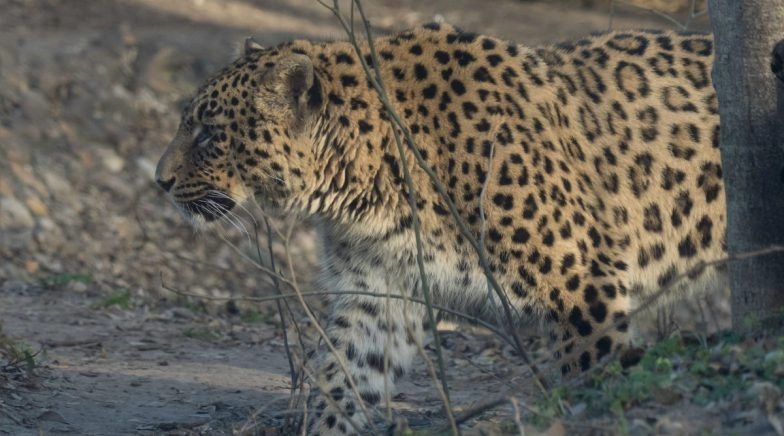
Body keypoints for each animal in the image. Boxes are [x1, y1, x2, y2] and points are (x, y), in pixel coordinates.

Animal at [155, 22, 725, 435]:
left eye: (209, 134)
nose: (159, 181)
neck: (369, 185)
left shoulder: (581, 285)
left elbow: (594, 372)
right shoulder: (377, 292)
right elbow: (342, 378)